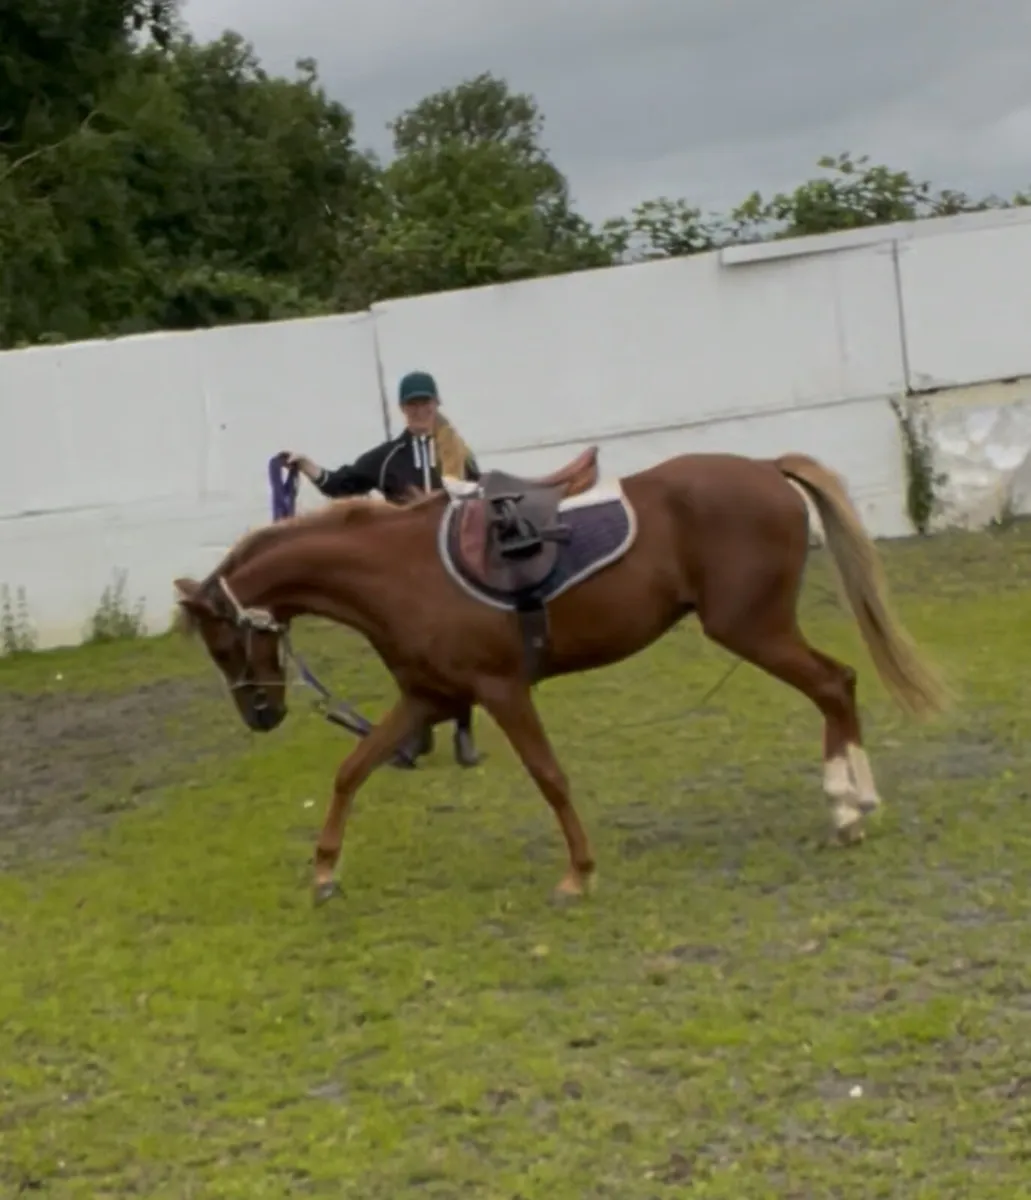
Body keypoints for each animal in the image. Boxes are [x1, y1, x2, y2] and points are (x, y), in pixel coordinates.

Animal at [172, 447, 950, 906]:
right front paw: (326, 868)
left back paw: (849, 809)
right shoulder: (427, 698)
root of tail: (762, 466)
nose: (259, 715)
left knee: (834, 684)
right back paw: (852, 806)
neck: (397, 572)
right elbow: (351, 769)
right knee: (838, 684)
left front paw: (579, 872)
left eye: (221, 644)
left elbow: (549, 776)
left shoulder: (500, 690)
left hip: (751, 628)